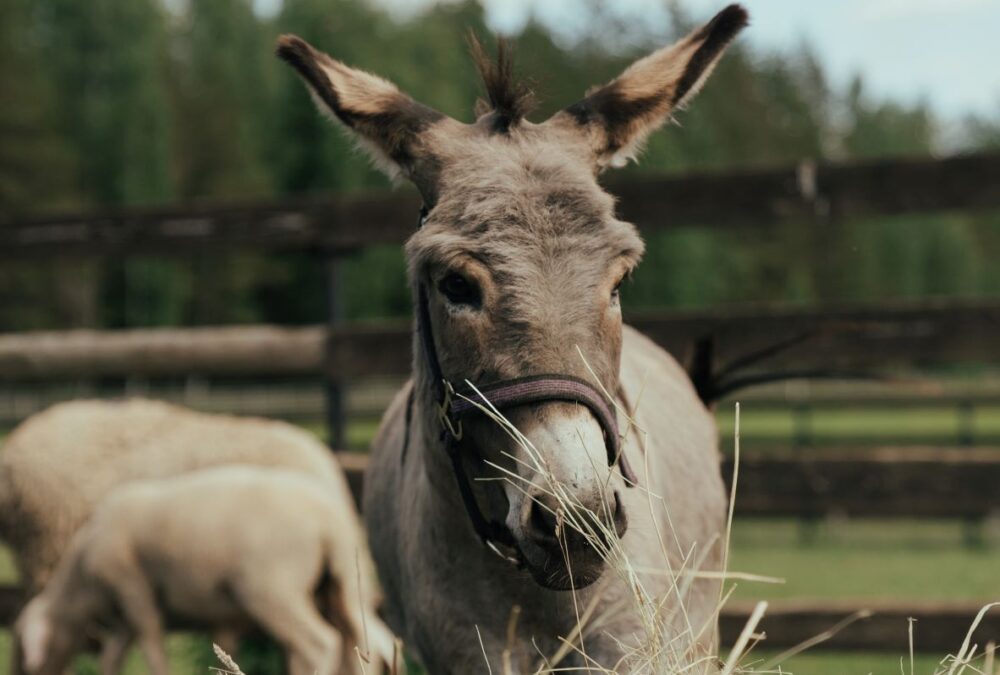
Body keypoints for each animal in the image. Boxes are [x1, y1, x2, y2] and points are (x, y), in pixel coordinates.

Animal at [14, 464, 398, 675]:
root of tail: (331, 520)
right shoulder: (125, 614)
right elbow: (113, 656)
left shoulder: (131, 586)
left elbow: (151, 643)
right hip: (338, 583)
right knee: (369, 638)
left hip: (273, 587)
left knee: (319, 643)